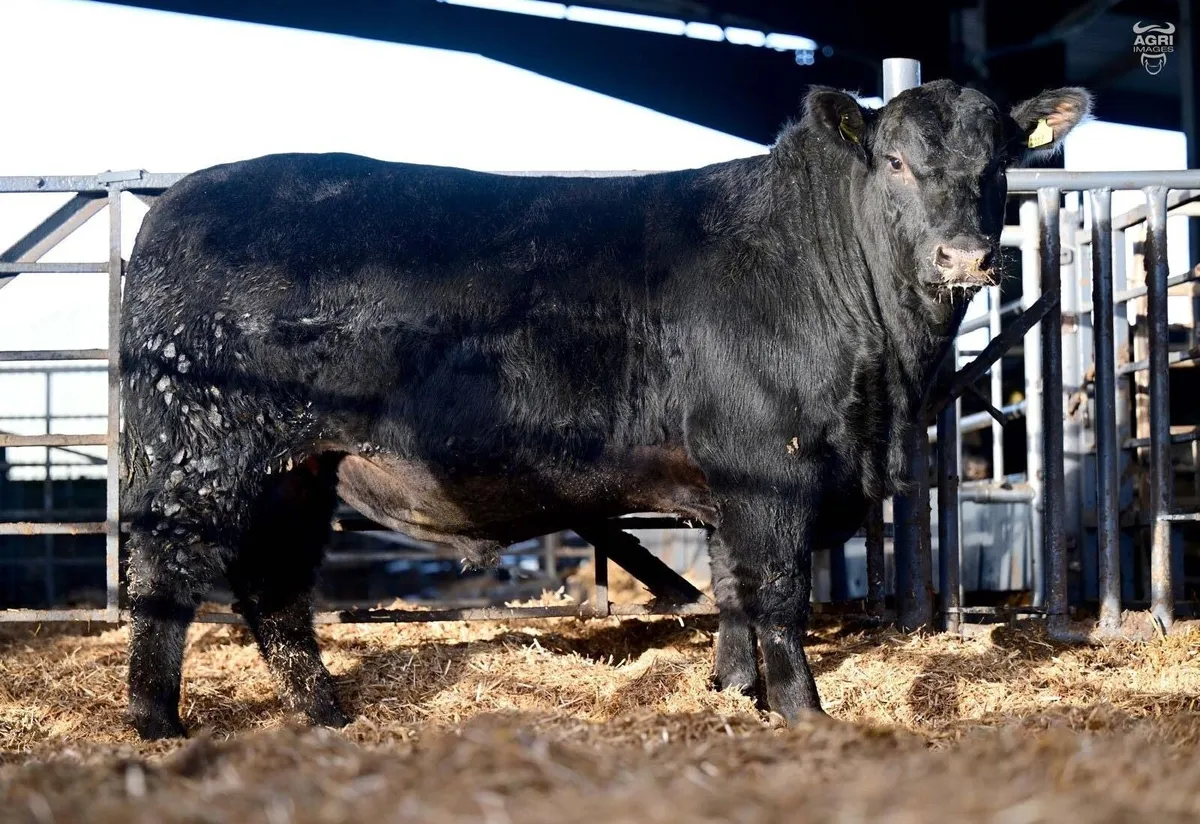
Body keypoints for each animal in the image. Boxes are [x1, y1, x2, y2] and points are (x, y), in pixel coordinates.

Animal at [119, 80, 1090, 739]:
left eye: (998, 165)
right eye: (894, 161)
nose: (965, 256)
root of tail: (175, 204)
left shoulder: (728, 485)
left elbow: (732, 594)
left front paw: (732, 694)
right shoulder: (769, 469)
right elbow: (779, 596)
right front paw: (803, 714)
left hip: (297, 469)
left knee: (274, 588)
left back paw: (325, 712)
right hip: (196, 458)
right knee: (164, 582)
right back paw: (157, 724)